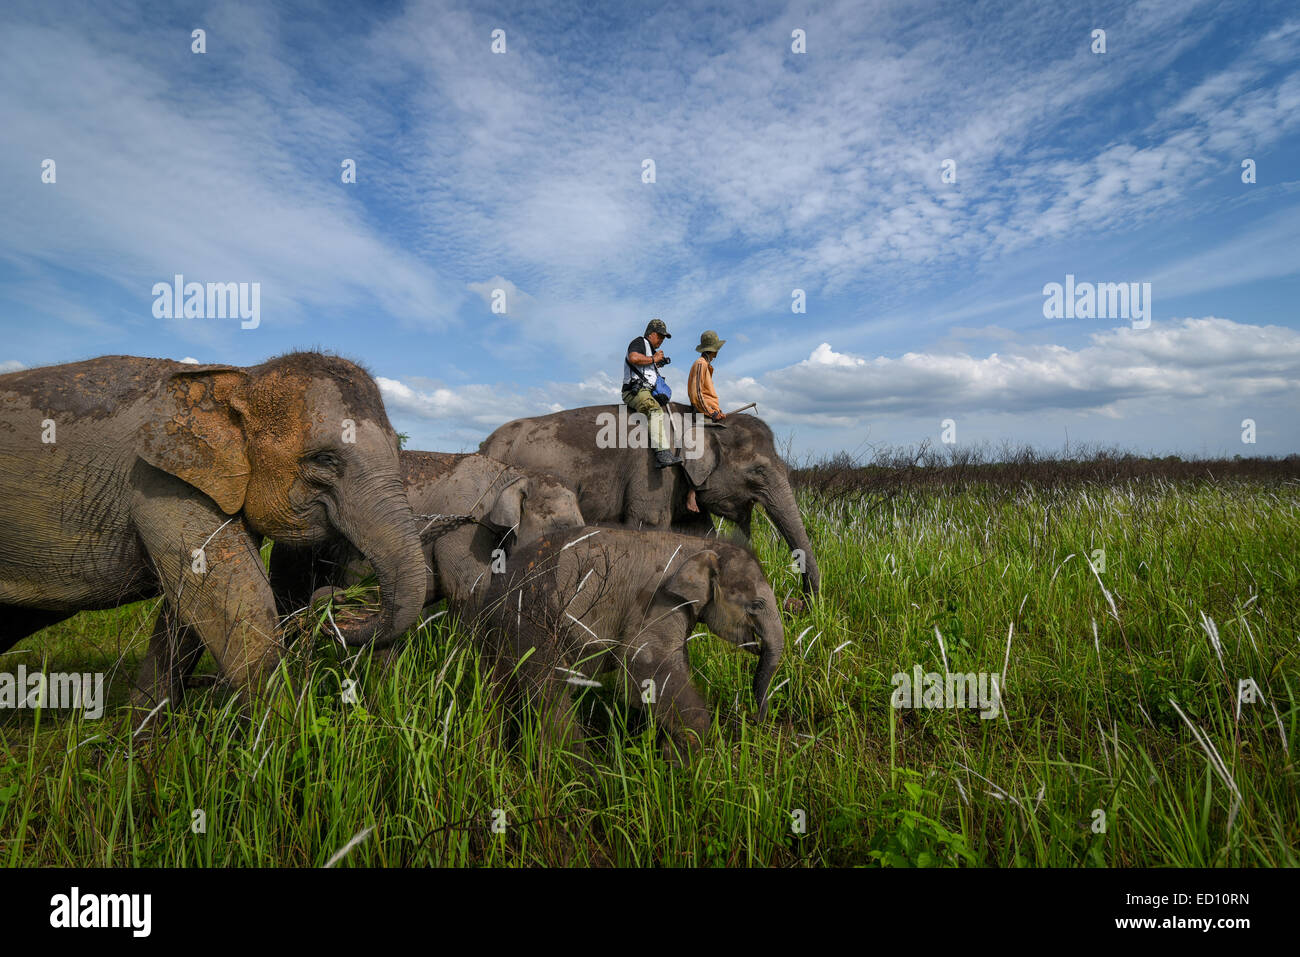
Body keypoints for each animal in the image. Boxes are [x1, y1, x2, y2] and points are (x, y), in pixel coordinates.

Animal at [0, 356, 426, 707]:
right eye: (324, 459)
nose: (334, 602)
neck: (242, 378)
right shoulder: (162, 481)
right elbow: (237, 608)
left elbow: (188, 614)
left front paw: (141, 744)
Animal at [475, 522, 785, 764]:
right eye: (756, 605)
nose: (752, 719)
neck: (702, 545)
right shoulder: (658, 599)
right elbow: (645, 664)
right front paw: (677, 764)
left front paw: (664, 750)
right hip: (529, 619)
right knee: (551, 694)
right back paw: (590, 777)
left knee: (498, 691)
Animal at [478, 400, 821, 595]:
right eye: (758, 472)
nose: (798, 603)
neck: (697, 420)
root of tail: (485, 443)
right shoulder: (656, 473)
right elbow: (650, 527)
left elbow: (701, 533)